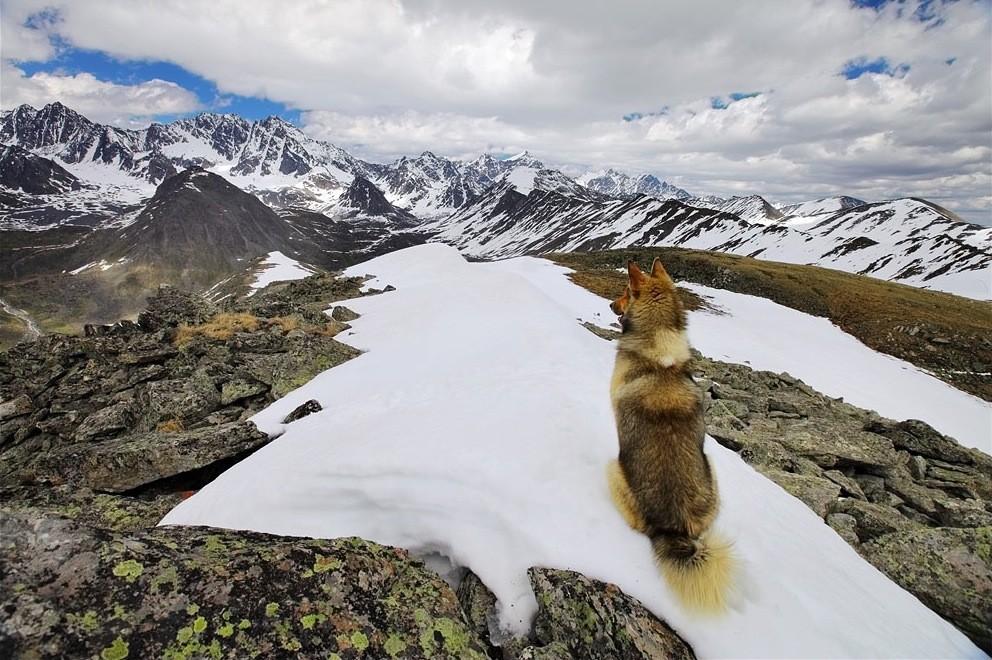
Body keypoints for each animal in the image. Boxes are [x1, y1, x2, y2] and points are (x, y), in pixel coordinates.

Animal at [604, 258, 736, 612]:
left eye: (626, 291)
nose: (611, 305)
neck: (658, 345)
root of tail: (674, 527)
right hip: (713, 474)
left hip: (614, 471)